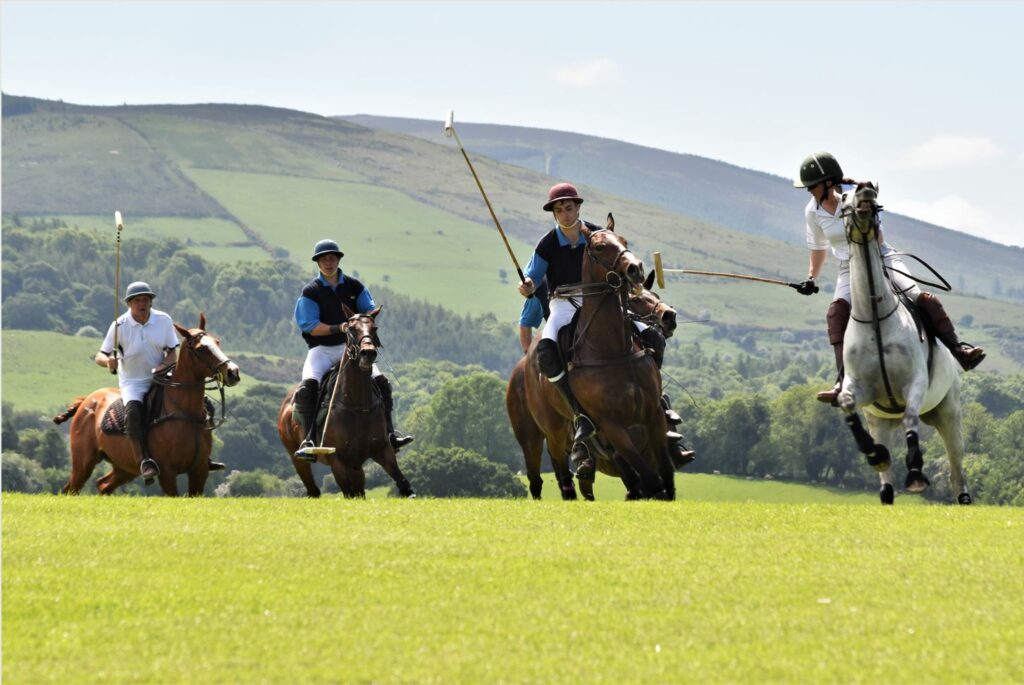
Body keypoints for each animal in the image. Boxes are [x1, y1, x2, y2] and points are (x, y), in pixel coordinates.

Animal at [55, 313, 241, 493]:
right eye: (201, 349)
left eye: (217, 342)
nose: (233, 372)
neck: (185, 412)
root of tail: (86, 400)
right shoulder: (167, 471)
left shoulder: (199, 470)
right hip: (83, 462)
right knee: (70, 489)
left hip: (125, 466)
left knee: (103, 484)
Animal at [276, 305, 415, 497]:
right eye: (351, 329)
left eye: (375, 328)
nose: (368, 353)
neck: (357, 405)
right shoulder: (337, 461)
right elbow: (348, 493)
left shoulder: (383, 451)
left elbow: (403, 484)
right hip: (297, 457)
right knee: (313, 489)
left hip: (356, 465)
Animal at [512, 216, 671, 499]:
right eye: (598, 247)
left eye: (623, 240)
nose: (635, 269)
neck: (615, 350)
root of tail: (526, 358)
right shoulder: (611, 427)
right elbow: (652, 481)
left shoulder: (653, 415)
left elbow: (666, 477)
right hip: (545, 432)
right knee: (549, 475)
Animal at [835, 184, 970, 505]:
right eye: (844, 197)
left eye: (870, 191)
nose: (865, 191)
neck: (875, 318)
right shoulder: (861, 390)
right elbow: (846, 402)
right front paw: (874, 454)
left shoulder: (914, 383)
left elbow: (910, 417)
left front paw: (916, 472)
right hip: (880, 421)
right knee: (886, 485)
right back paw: (881, 465)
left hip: (949, 413)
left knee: (957, 473)